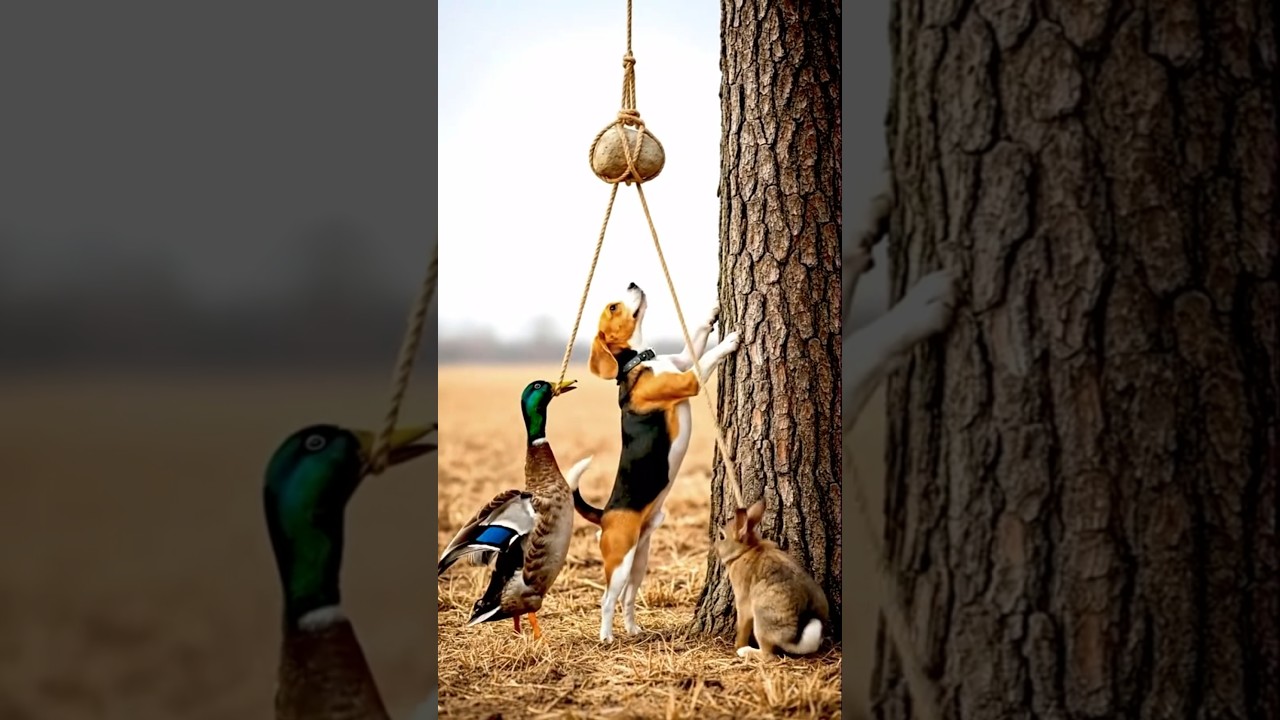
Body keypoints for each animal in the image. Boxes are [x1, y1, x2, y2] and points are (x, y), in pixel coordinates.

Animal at [714, 499, 830, 658]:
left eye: (722, 537)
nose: (714, 549)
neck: (745, 551)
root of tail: (794, 638)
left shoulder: (743, 601)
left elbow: (743, 623)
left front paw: (738, 644)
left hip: (761, 619)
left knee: (767, 655)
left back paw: (744, 651)